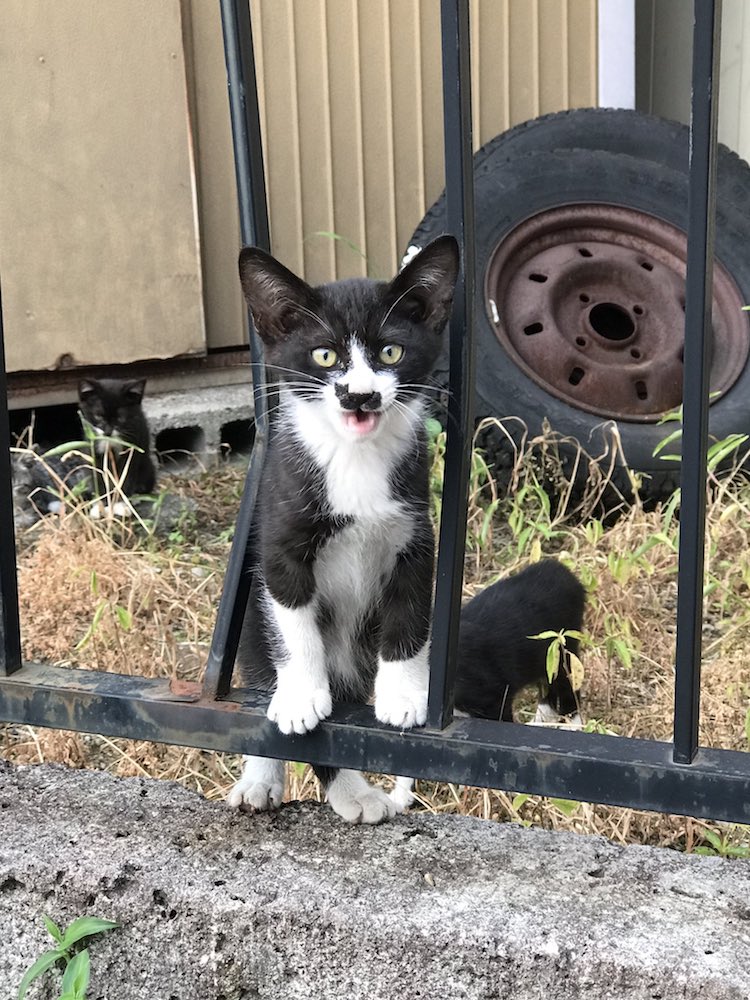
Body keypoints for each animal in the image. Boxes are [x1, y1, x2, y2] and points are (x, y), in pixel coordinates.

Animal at [226, 238, 462, 824]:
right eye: (325, 357)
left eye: (391, 354)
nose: (359, 395)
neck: (354, 458)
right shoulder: (280, 541)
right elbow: (294, 624)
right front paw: (301, 696)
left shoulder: (414, 536)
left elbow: (408, 618)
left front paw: (403, 696)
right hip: (250, 625)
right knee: (261, 668)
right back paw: (277, 781)